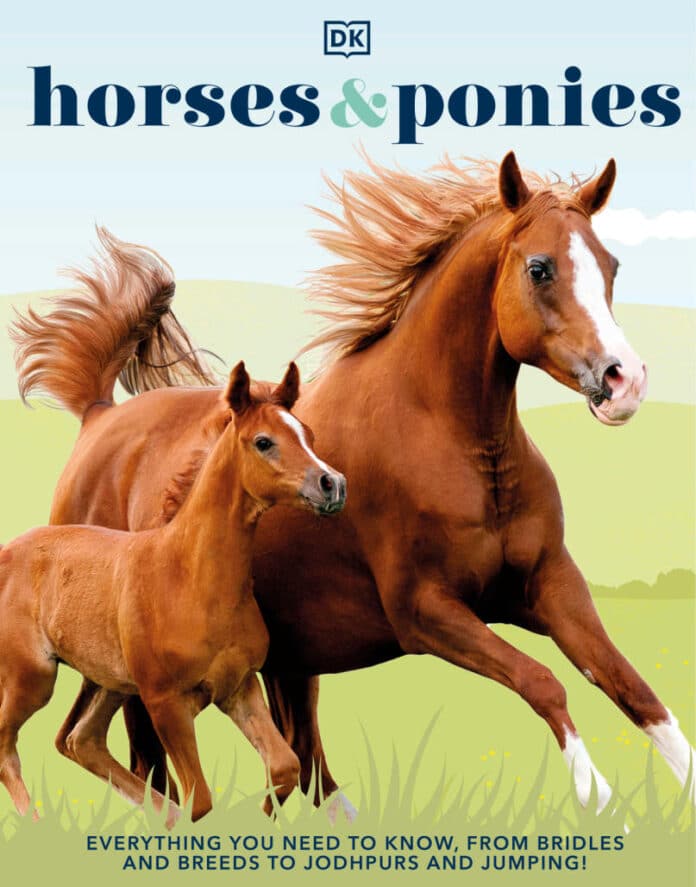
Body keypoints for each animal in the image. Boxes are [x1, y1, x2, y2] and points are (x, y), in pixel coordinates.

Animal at [0, 360, 346, 823]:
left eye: (307, 433)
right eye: (264, 441)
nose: (333, 484)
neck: (191, 578)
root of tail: (7, 552)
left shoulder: (239, 687)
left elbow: (284, 766)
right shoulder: (166, 703)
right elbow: (201, 799)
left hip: (111, 682)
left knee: (80, 739)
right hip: (33, 677)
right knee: (9, 744)